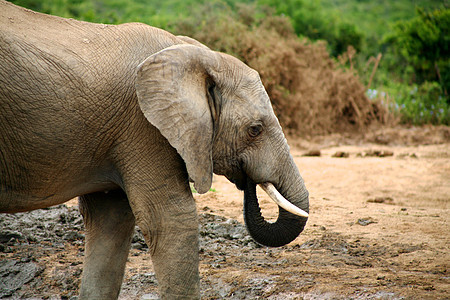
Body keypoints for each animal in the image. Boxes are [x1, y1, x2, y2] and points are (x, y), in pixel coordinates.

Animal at [0, 1, 310, 298]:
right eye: (255, 129)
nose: (248, 180)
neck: (190, 52)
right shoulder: (144, 127)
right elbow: (173, 221)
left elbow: (110, 222)